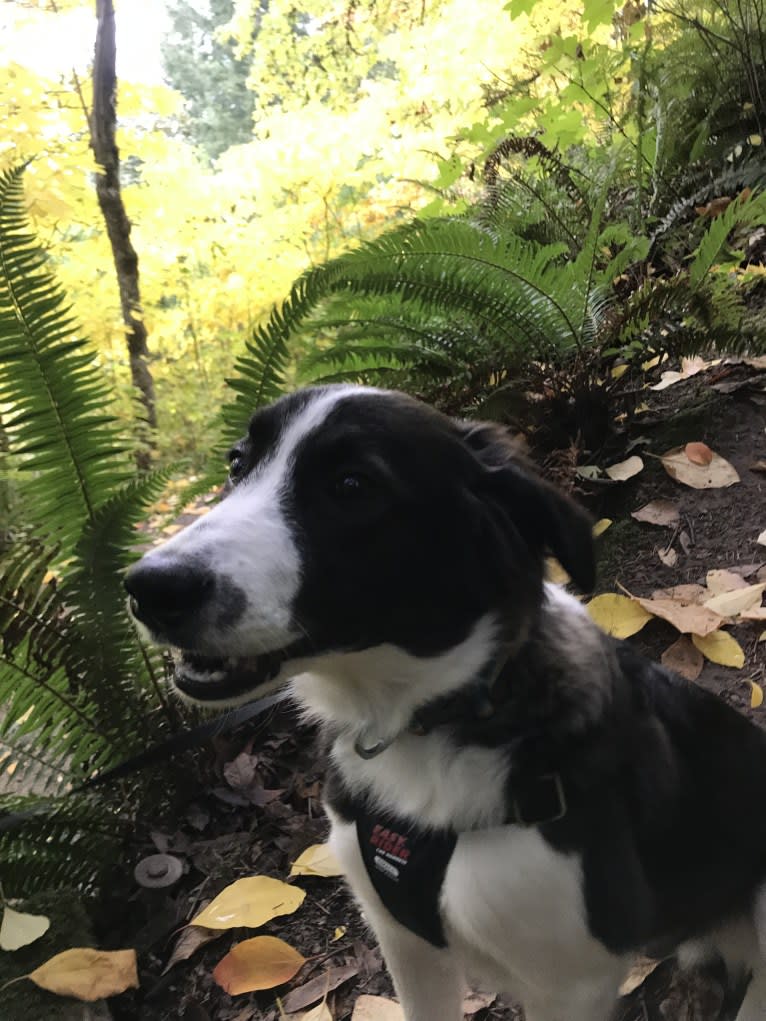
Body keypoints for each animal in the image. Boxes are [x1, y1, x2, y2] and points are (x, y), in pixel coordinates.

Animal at [126, 383, 766, 1021]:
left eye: (352, 485)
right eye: (237, 464)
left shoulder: (571, 983)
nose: (148, 588)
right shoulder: (403, 939)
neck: (428, 722)